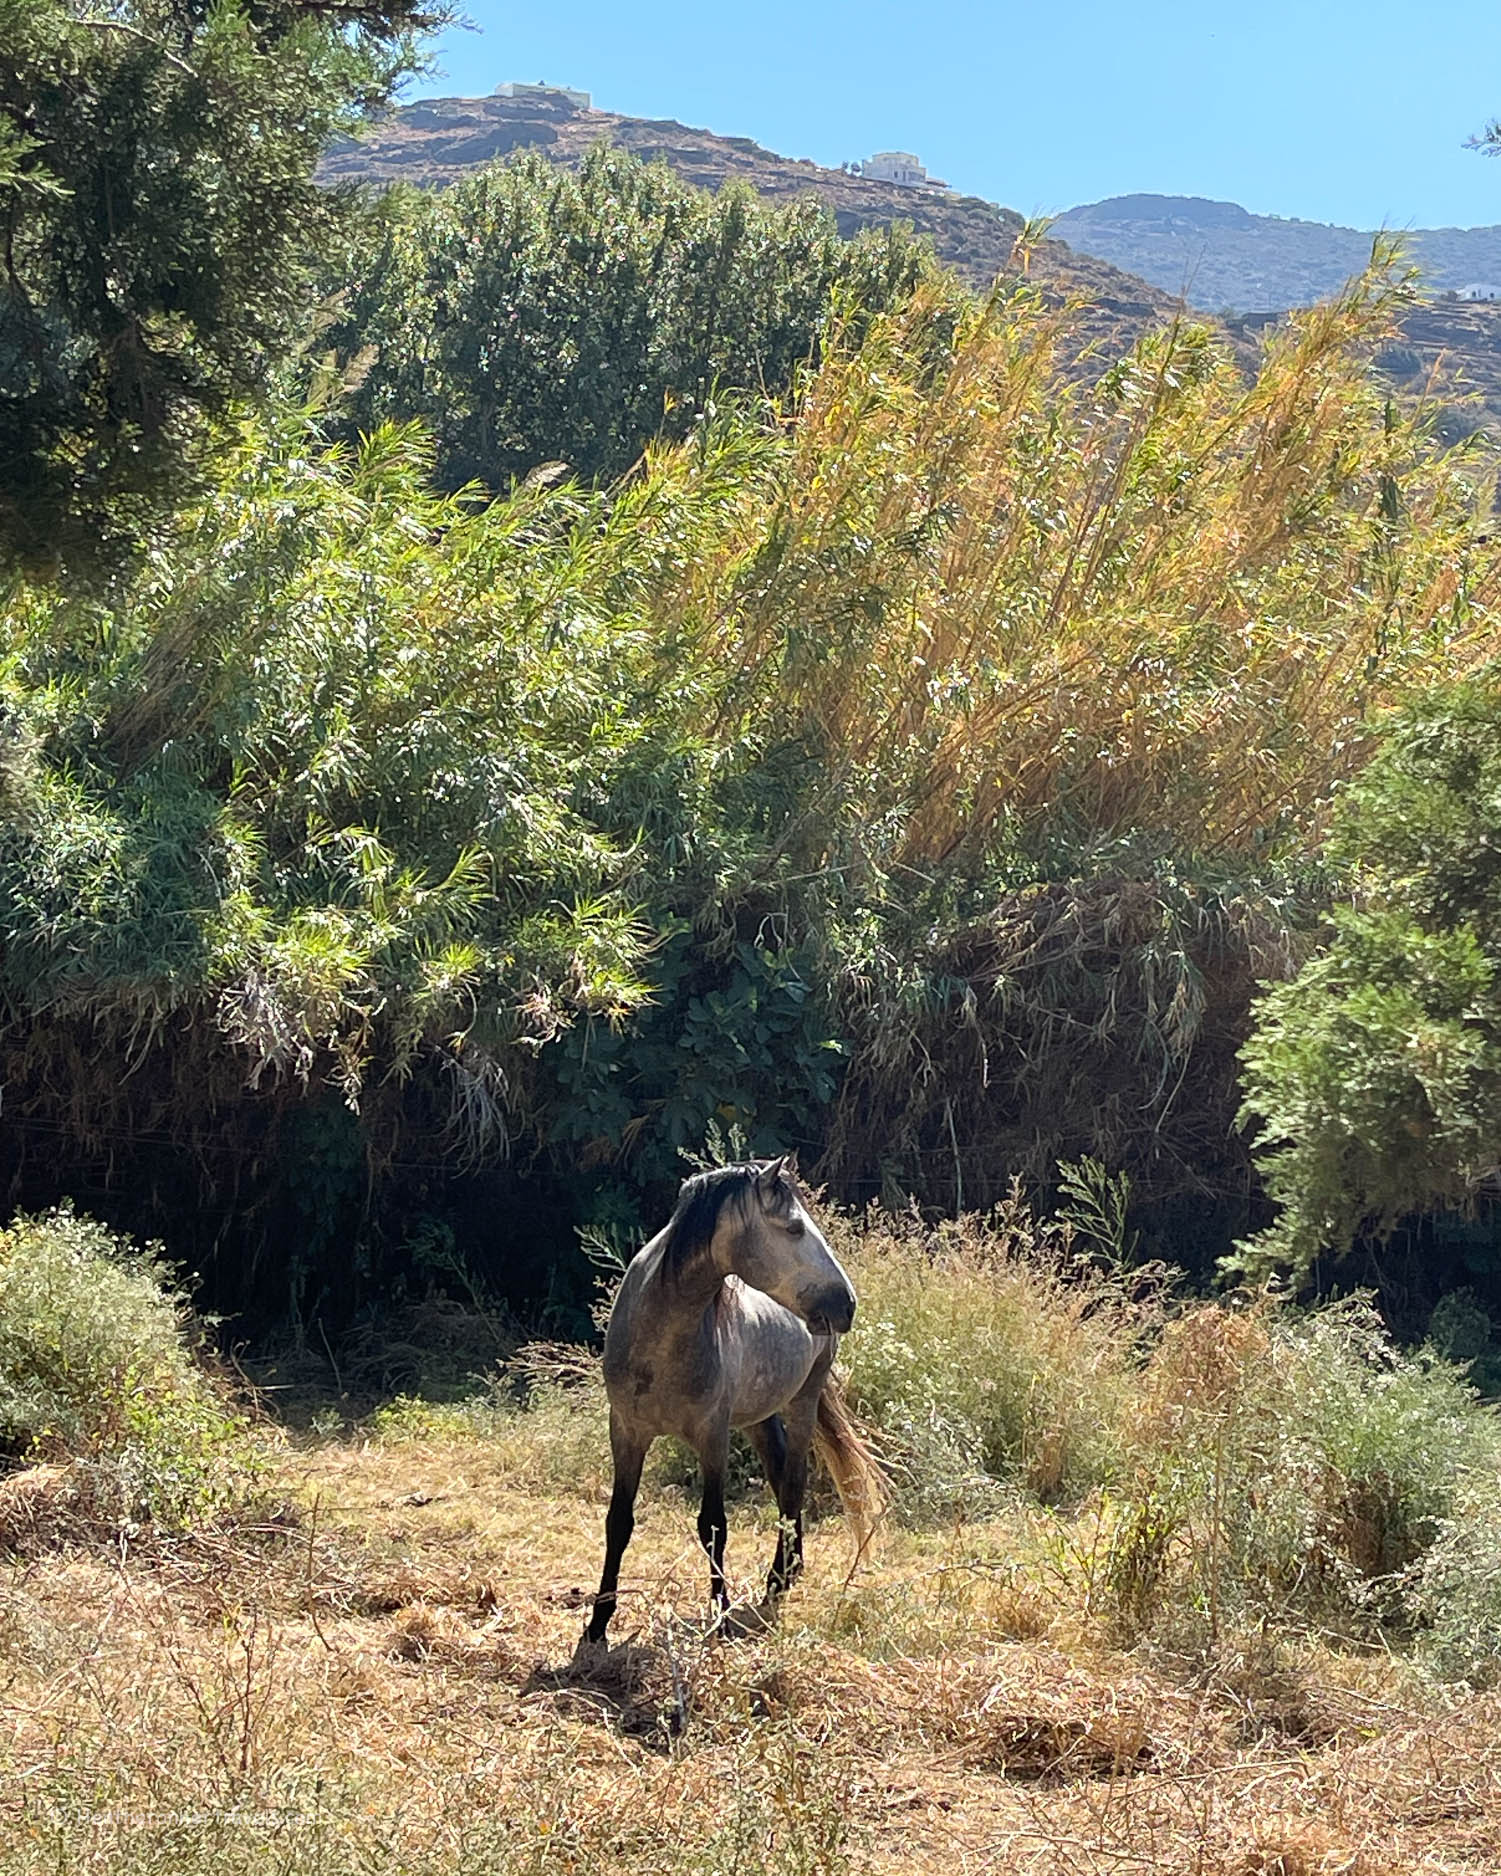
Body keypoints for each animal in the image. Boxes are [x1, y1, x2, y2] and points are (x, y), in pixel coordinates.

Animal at [581, 1155, 878, 1643]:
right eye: (794, 1227)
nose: (847, 1303)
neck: (660, 1341)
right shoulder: (626, 1432)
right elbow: (618, 1523)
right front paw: (598, 1622)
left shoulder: (712, 1437)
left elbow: (713, 1525)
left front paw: (720, 1613)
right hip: (759, 1417)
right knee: (779, 1476)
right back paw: (790, 1568)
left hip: (802, 1402)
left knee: (793, 1482)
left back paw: (777, 1580)